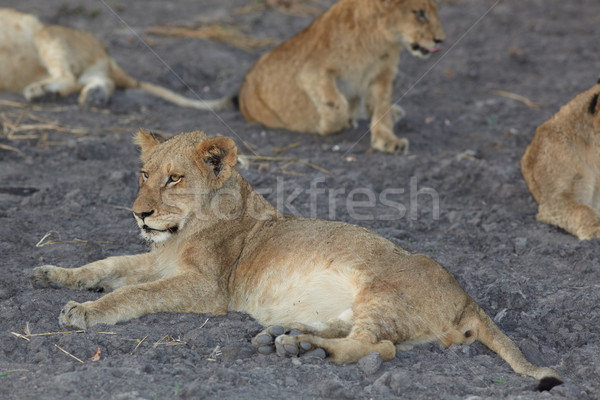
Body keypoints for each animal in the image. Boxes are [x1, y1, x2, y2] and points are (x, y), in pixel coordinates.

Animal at [0, 9, 232, 109]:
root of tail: (105, 52)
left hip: (45, 33)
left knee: (69, 77)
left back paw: (42, 92)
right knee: (100, 80)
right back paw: (95, 95)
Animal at [34, 130, 564, 390]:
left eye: (174, 178)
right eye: (144, 174)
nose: (138, 213)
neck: (183, 233)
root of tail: (468, 299)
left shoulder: (207, 289)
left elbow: (136, 292)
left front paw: (84, 311)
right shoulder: (158, 260)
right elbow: (107, 264)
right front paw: (54, 274)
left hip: (382, 291)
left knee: (376, 347)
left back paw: (303, 349)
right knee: (362, 337)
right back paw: (285, 337)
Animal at [238, 0, 446, 154]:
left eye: (435, 9)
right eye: (420, 13)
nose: (441, 40)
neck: (380, 40)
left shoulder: (382, 75)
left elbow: (382, 107)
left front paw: (387, 140)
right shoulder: (312, 72)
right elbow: (337, 105)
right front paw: (326, 126)